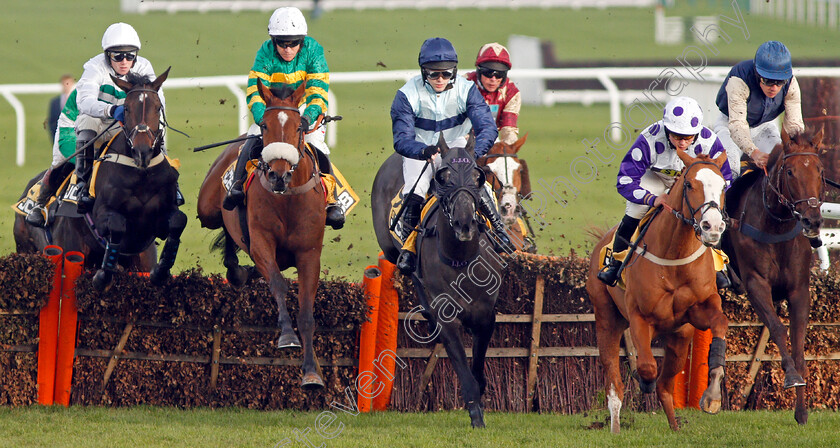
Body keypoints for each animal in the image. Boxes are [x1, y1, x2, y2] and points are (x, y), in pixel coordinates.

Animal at [197, 80, 328, 388]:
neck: (288, 198)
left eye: (299, 126)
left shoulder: (309, 254)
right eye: (265, 125)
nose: (278, 175)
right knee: (225, 227)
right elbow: (278, 284)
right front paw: (288, 336)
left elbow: (307, 313)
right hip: (207, 208)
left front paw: (311, 371)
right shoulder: (261, 242)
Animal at [372, 136, 502, 428]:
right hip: (393, 252)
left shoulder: (486, 316)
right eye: (444, 177)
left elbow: (478, 366)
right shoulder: (447, 318)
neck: (460, 259)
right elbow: (465, 374)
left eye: (477, 176)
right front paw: (476, 415)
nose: (465, 223)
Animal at [588, 151, 732, 434]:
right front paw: (644, 382)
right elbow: (646, 367)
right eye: (689, 185)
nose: (712, 226)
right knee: (615, 384)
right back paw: (616, 427)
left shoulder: (698, 311)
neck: (675, 257)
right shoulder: (640, 318)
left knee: (666, 386)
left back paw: (675, 427)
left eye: (723, 186)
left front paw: (712, 396)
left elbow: (720, 323)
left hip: (679, 338)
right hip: (607, 320)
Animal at [720, 129, 828, 424]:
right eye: (790, 172)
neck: (775, 225)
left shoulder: (799, 289)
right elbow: (778, 328)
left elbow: (799, 343)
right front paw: (791, 376)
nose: (812, 220)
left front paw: (801, 411)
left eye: (820, 170)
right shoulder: (756, 284)